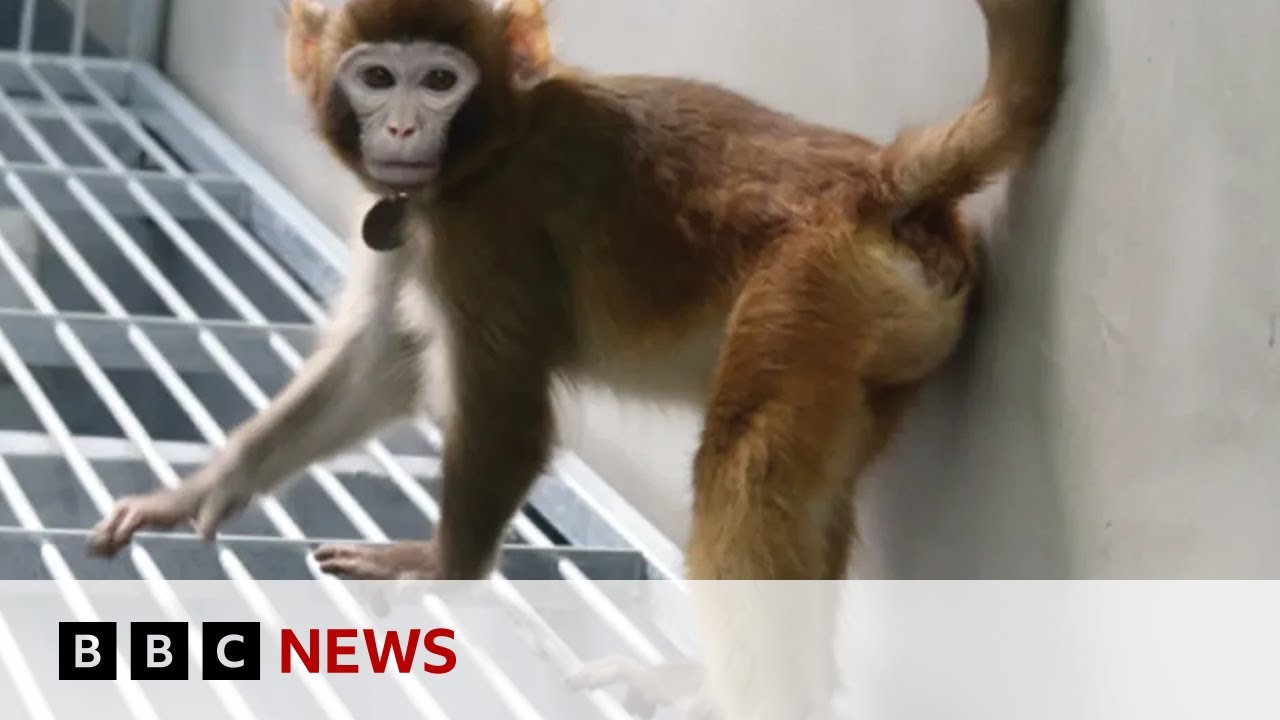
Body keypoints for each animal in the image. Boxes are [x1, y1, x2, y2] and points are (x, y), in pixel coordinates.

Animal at [85, 0, 1069, 713]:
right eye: (376, 76)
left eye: (438, 80)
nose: (399, 130)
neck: (493, 141)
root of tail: (876, 184)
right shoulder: (418, 218)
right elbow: (383, 358)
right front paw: (203, 490)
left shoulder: (488, 226)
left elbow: (507, 404)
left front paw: (446, 566)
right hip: (874, 333)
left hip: (810, 288)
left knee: (745, 471)